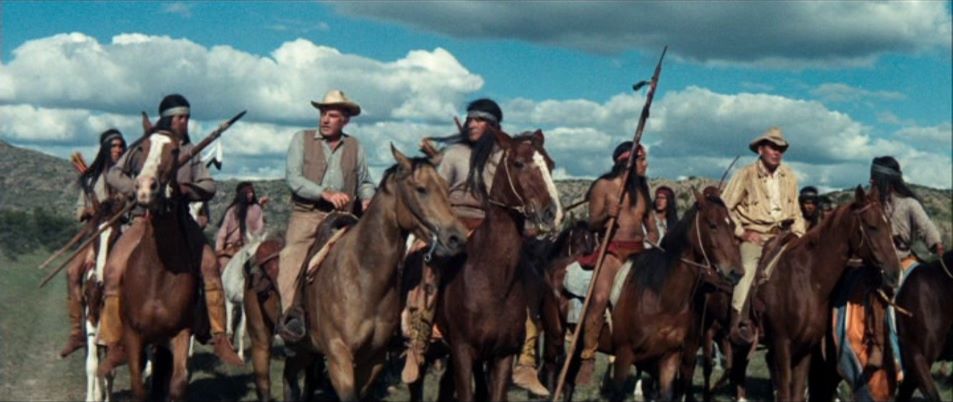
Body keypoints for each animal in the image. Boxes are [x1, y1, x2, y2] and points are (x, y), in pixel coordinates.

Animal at [284, 146, 467, 402]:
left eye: (445, 187)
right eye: (421, 189)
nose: (457, 237)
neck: (364, 277)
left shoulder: (374, 359)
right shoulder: (339, 357)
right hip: (299, 349)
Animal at [434, 129, 563, 402]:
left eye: (551, 164)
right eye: (518, 163)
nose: (553, 214)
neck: (491, 280)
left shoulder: (502, 354)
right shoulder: (462, 350)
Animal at [754, 186, 901, 402]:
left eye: (889, 226)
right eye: (872, 226)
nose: (894, 274)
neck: (806, 281)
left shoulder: (805, 348)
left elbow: (797, 393)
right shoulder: (782, 345)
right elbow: (786, 392)